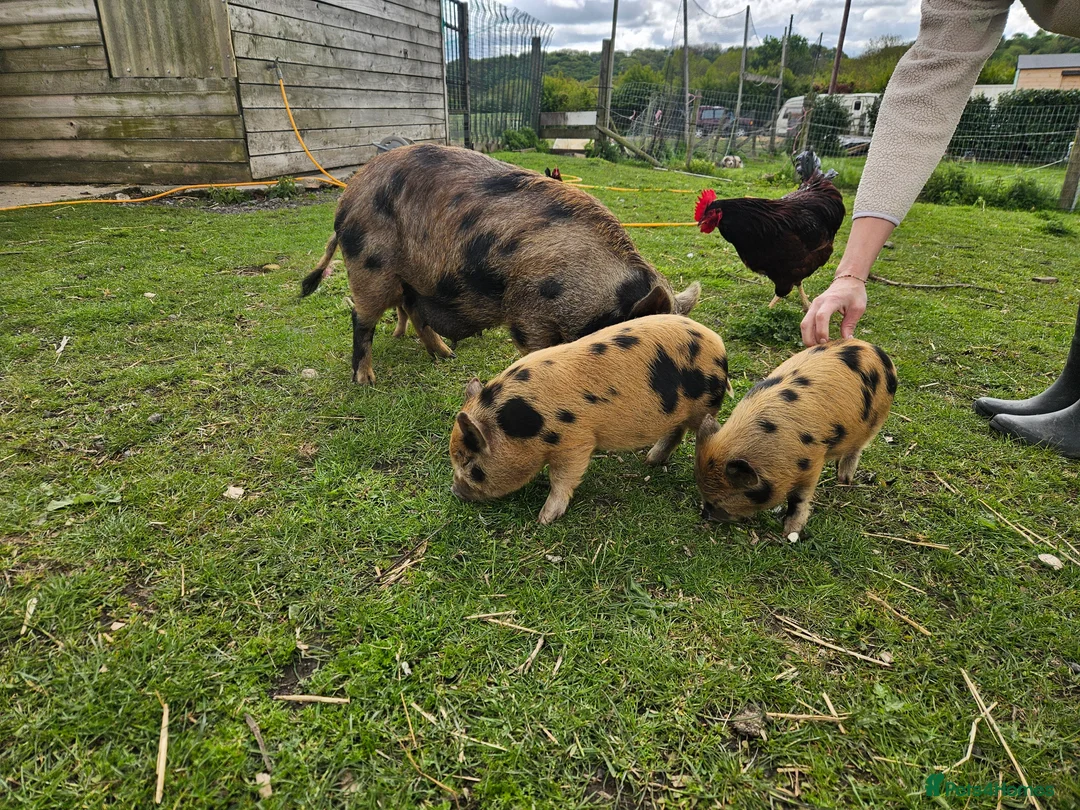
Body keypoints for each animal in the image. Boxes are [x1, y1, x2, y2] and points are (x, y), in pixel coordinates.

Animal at [300, 144, 701, 385]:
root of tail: (345, 201)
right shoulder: (528, 313)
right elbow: (538, 351)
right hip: (371, 266)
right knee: (362, 319)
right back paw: (366, 380)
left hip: (415, 279)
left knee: (415, 311)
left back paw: (446, 356)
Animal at [449, 314, 732, 524]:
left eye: (470, 464)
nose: (455, 492)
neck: (523, 427)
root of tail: (719, 344)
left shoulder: (575, 442)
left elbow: (562, 478)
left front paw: (544, 519)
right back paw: (650, 461)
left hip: (704, 405)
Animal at [695, 339, 897, 539]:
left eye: (722, 499)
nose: (705, 515)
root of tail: (874, 348)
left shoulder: (812, 462)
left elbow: (799, 499)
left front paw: (789, 532)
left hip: (875, 420)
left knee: (856, 449)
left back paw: (844, 480)